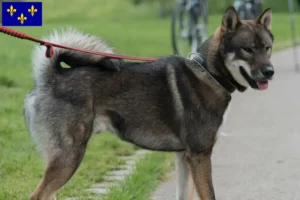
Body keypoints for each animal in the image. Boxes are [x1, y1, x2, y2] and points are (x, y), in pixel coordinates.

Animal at [24, 6, 274, 200]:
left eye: (267, 47)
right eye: (247, 49)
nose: (270, 72)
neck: (208, 72)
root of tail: (50, 78)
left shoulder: (184, 157)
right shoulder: (200, 155)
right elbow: (209, 195)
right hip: (69, 157)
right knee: (38, 195)